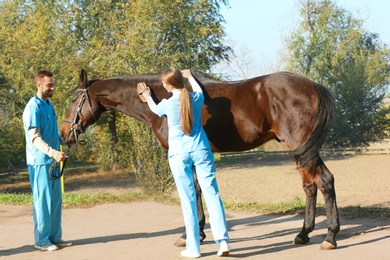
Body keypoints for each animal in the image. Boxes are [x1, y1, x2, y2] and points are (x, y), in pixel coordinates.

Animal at [60, 68, 338, 250]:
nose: (64, 134)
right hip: (300, 150)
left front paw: (190, 235)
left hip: (302, 147)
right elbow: (199, 190)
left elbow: (192, 191)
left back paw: (330, 237)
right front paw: (200, 233)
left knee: (325, 181)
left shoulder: (181, 155)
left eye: (74, 99)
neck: (164, 97)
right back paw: (303, 234)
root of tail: (314, 86)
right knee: (310, 186)